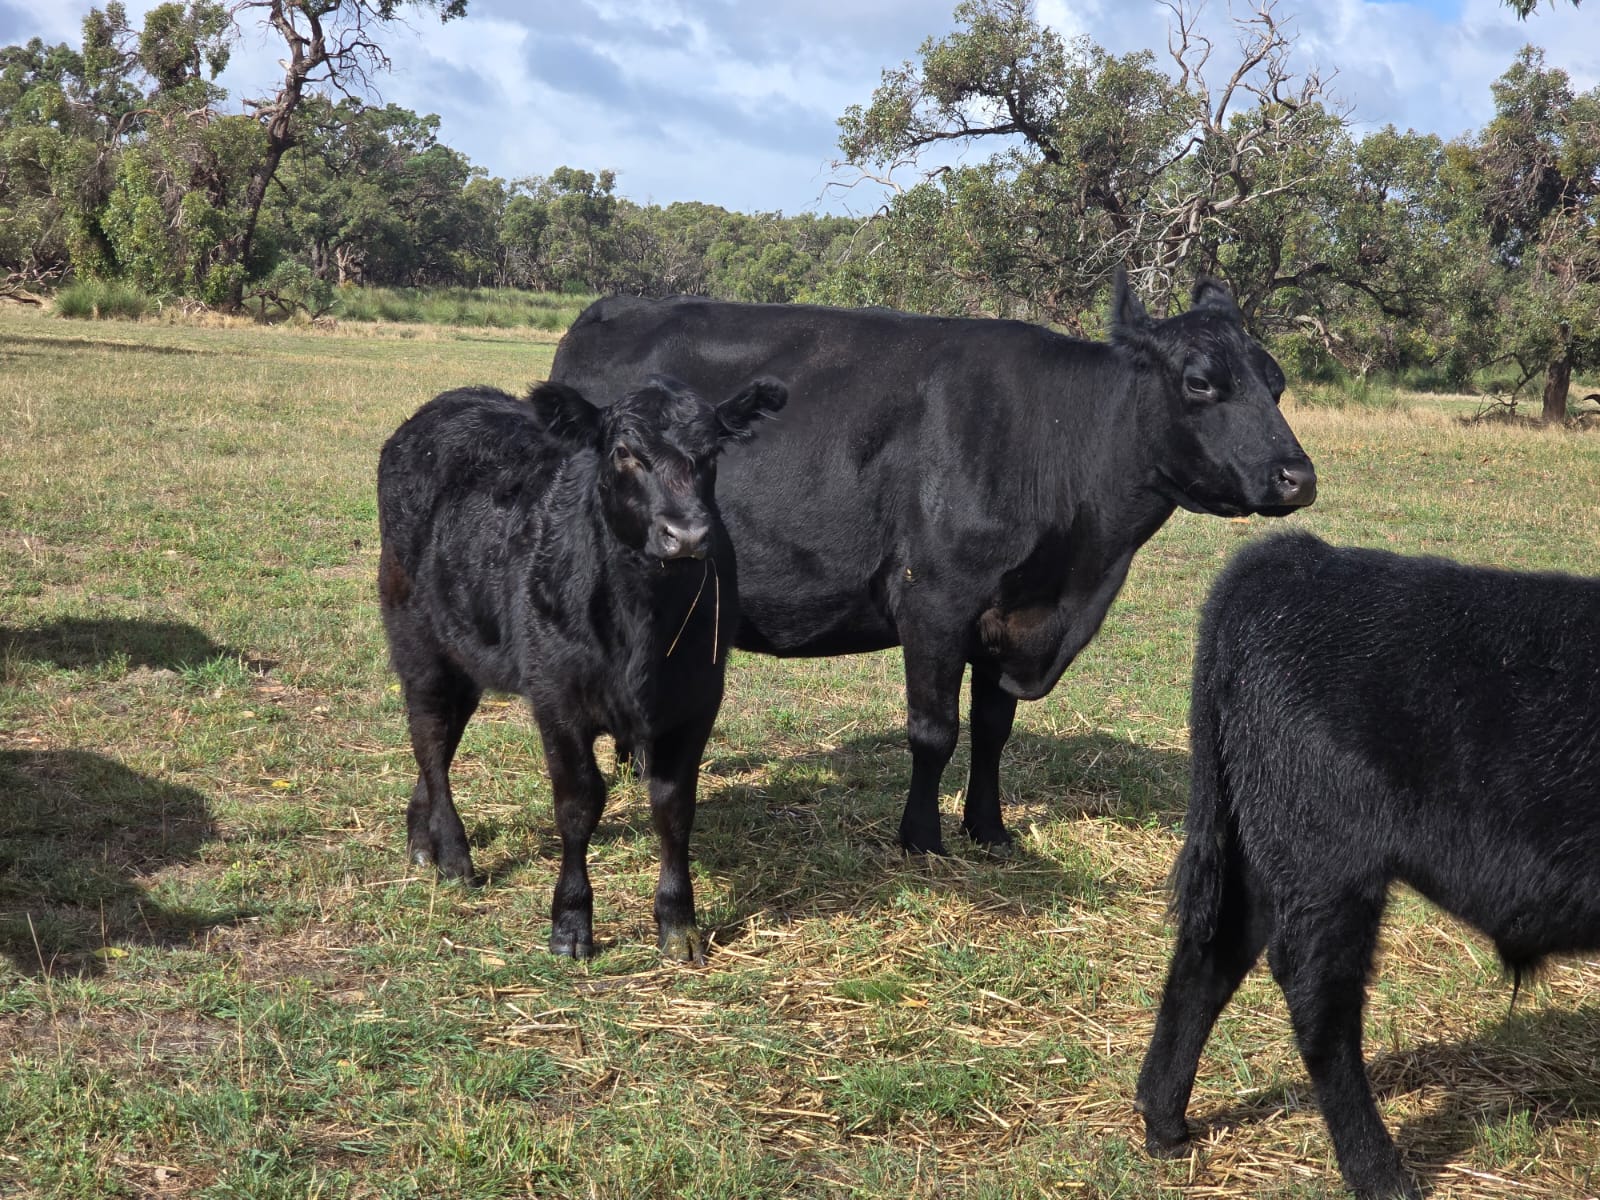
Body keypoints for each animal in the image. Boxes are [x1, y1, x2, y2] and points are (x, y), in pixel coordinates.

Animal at [376, 375, 787, 962]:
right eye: (623, 453)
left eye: (710, 454)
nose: (686, 535)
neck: (643, 619)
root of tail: (454, 400)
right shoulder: (558, 698)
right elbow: (578, 804)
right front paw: (570, 921)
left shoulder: (697, 698)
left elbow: (673, 805)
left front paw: (678, 922)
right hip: (417, 643)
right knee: (430, 738)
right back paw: (453, 854)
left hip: (465, 654)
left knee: (443, 737)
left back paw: (421, 838)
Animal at [550, 273, 1316, 855]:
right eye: (1200, 383)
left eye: (1275, 383)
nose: (1297, 477)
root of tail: (610, 308)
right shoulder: (936, 601)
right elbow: (934, 732)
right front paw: (921, 837)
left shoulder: (1011, 617)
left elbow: (993, 731)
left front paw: (990, 830)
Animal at [1136, 530, 1600, 1199]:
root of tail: (1297, 557)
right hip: (1327, 858)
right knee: (1318, 997)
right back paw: (1381, 1172)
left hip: (1261, 845)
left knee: (1210, 956)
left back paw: (1166, 1125)